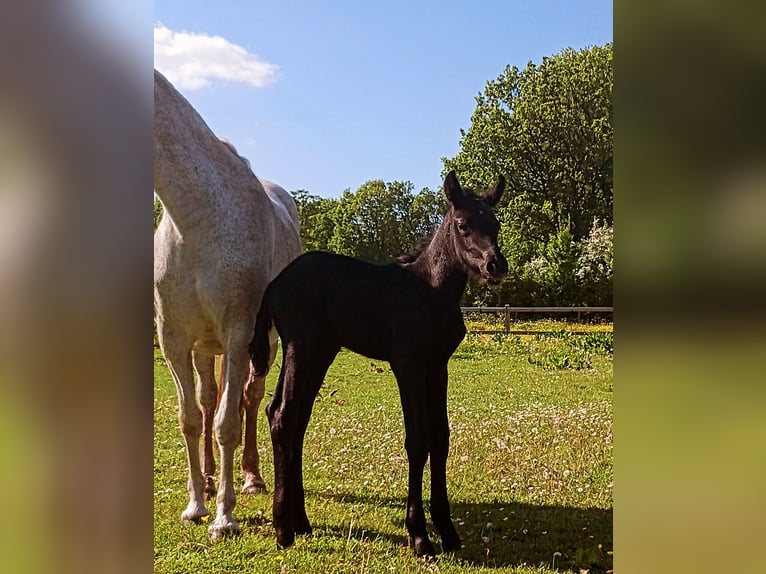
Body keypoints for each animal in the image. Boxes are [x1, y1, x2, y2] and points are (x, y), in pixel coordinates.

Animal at [249, 171, 508, 560]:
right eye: (462, 225)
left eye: (495, 223)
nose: (496, 266)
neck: (430, 292)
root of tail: (274, 284)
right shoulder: (408, 365)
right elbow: (418, 439)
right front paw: (419, 537)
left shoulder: (438, 368)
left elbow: (441, 437)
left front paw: (447, 532)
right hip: (301, 348)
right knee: (283, 415)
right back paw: (283, 529)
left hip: (320, 353)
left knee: (293, 418)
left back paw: (302, 522)